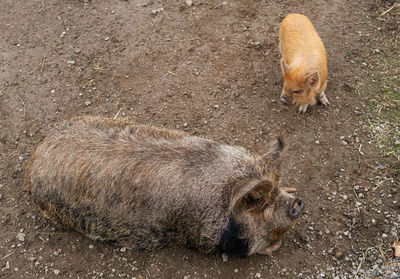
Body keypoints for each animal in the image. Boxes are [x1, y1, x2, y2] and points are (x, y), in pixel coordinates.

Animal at [25, 116, 304, 258]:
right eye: (262, 206)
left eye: (278, 189)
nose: (298, 203)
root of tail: (35, 155)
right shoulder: (203, 238)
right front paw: (274, 248)